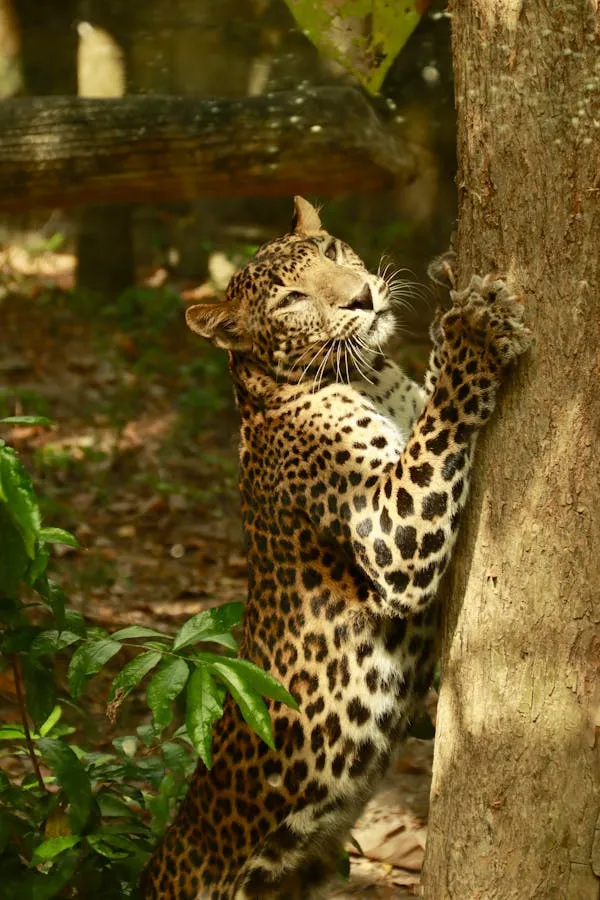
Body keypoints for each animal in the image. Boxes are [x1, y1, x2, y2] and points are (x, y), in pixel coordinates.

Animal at [141, 196, 531, 900]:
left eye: (328, 251)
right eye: (293, 299)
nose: (360, 298)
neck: (369, 379)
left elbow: (430, 402)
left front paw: (449, 280)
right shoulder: (389, 534)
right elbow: (439, 427)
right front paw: (474, 335)